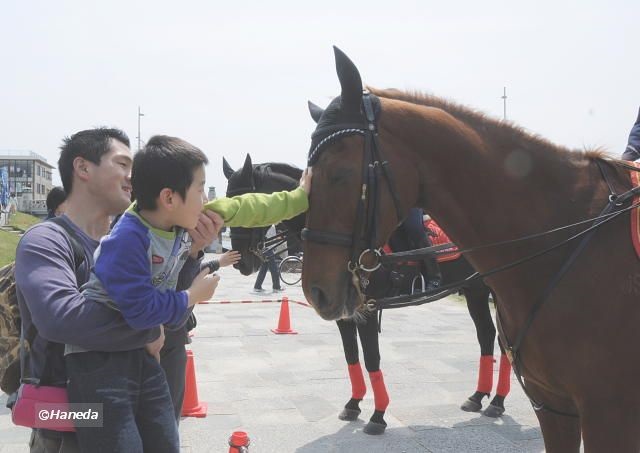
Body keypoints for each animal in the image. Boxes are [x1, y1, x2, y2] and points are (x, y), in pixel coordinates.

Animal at [222, 155, 512, 434]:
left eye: (242, 204)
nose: (240, 261)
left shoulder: (367, 310)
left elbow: (372, 358)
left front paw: (378, 415)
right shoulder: (343, 314)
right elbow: (351, 355)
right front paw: (353, 404)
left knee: (503, 341)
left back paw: (497, 401)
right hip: (474, 290)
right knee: (486, 335)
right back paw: (478, 396)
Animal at [302, 46, 640, 452]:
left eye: (339, 173)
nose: (315, 290)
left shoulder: (608, 413)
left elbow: (369, 358)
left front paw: (374, 415)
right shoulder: (554, 406)